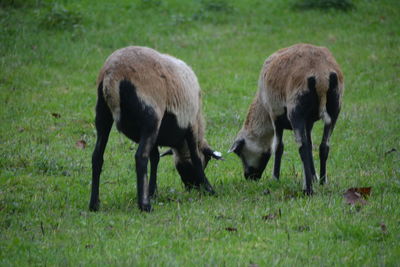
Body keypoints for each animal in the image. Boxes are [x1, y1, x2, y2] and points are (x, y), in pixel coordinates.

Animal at [88, 46, 223, 214]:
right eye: (208, 160)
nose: (191, 188)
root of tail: (112, 74)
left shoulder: (156, 136)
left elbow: (155, 158)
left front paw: (152, 191)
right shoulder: (191, 125)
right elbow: (195, 157)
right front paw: (210, 189)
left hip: (102, 114)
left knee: (97, 156)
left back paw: (94, 204)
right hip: (151, 116)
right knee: (140, 157)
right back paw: (144, 205)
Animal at [230, 43, 346, 195]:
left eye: (239, 152)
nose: (249, 177)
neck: (262, 107)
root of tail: (321, 76)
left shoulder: (275, 115)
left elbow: (279, 147)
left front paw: (275, 178)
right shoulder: (308, 123)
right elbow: (310, 146)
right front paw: (314, 177)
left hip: (296, 109)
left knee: (302, 147)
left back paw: (308, 189)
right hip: (335, 107)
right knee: (324, 146)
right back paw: (322, 182)